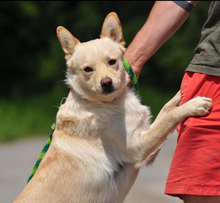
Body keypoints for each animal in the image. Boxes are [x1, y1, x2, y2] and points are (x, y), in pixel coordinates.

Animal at [14, 11, 213, 202]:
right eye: (88, 69)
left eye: (112, 61)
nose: (106, 83)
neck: (108, 103)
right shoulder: (139, 149)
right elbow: (169, 118)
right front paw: (194, 104)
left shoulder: (146, 147)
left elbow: (167, 108)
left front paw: (182, 92)